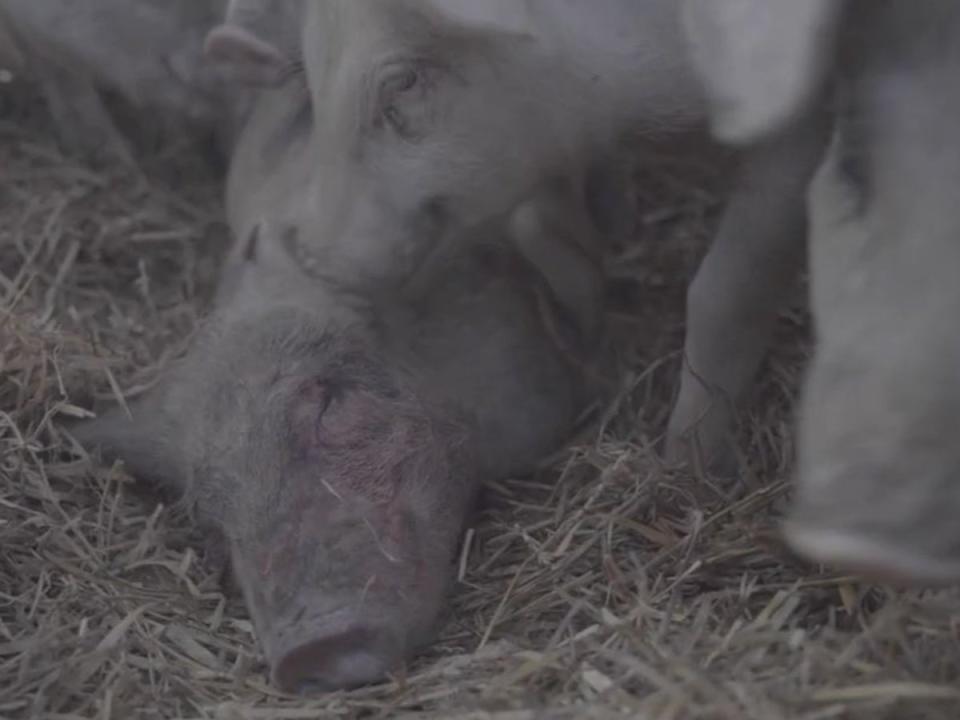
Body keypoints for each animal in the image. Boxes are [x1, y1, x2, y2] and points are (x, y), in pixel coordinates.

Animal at [204, 0, 832, 466]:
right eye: (311, 84)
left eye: (404, 81)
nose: (308, 253)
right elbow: (541, 228)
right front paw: (591, 355)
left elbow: (728, 289)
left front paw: (686, 469)